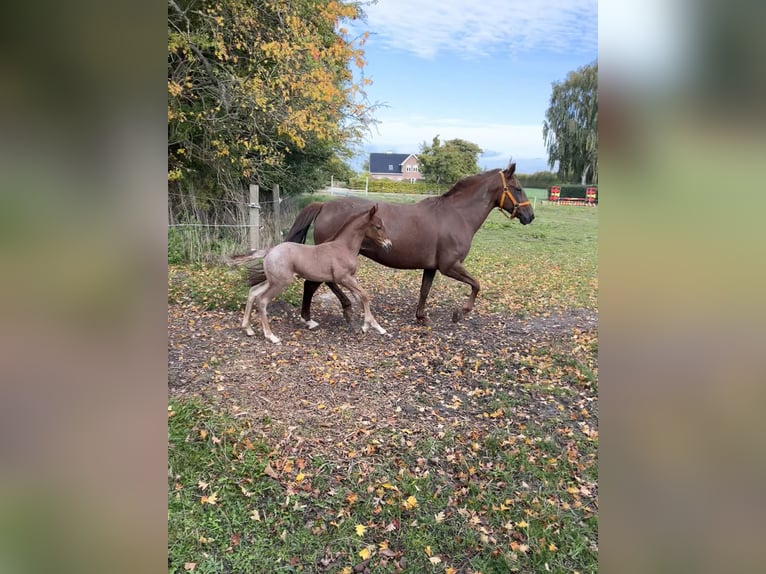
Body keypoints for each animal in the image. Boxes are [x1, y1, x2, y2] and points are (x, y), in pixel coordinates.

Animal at [228, 205, 390, 344]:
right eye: (378, 226)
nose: (388, 244)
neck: (343, 247)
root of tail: (270, 251)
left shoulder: (351, 278)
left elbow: (360, 298)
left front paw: (377, 327)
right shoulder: (343, 278)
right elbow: (365, 296)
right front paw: (367, 326)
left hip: (272, 280)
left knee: (253, 292)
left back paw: (248, 328)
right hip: (280, 283)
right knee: (262, 300)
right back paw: (271, 336)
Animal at [284, 162, 536, 328]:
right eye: (518, 188)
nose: (530, 216)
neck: (457, 215)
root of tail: (324, 205)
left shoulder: (432, 267)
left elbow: (425, 291)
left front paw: (421, 317)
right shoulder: (450, 266)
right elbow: (476, 284)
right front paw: (460, 312)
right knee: (313, 284)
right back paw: (325, 314)